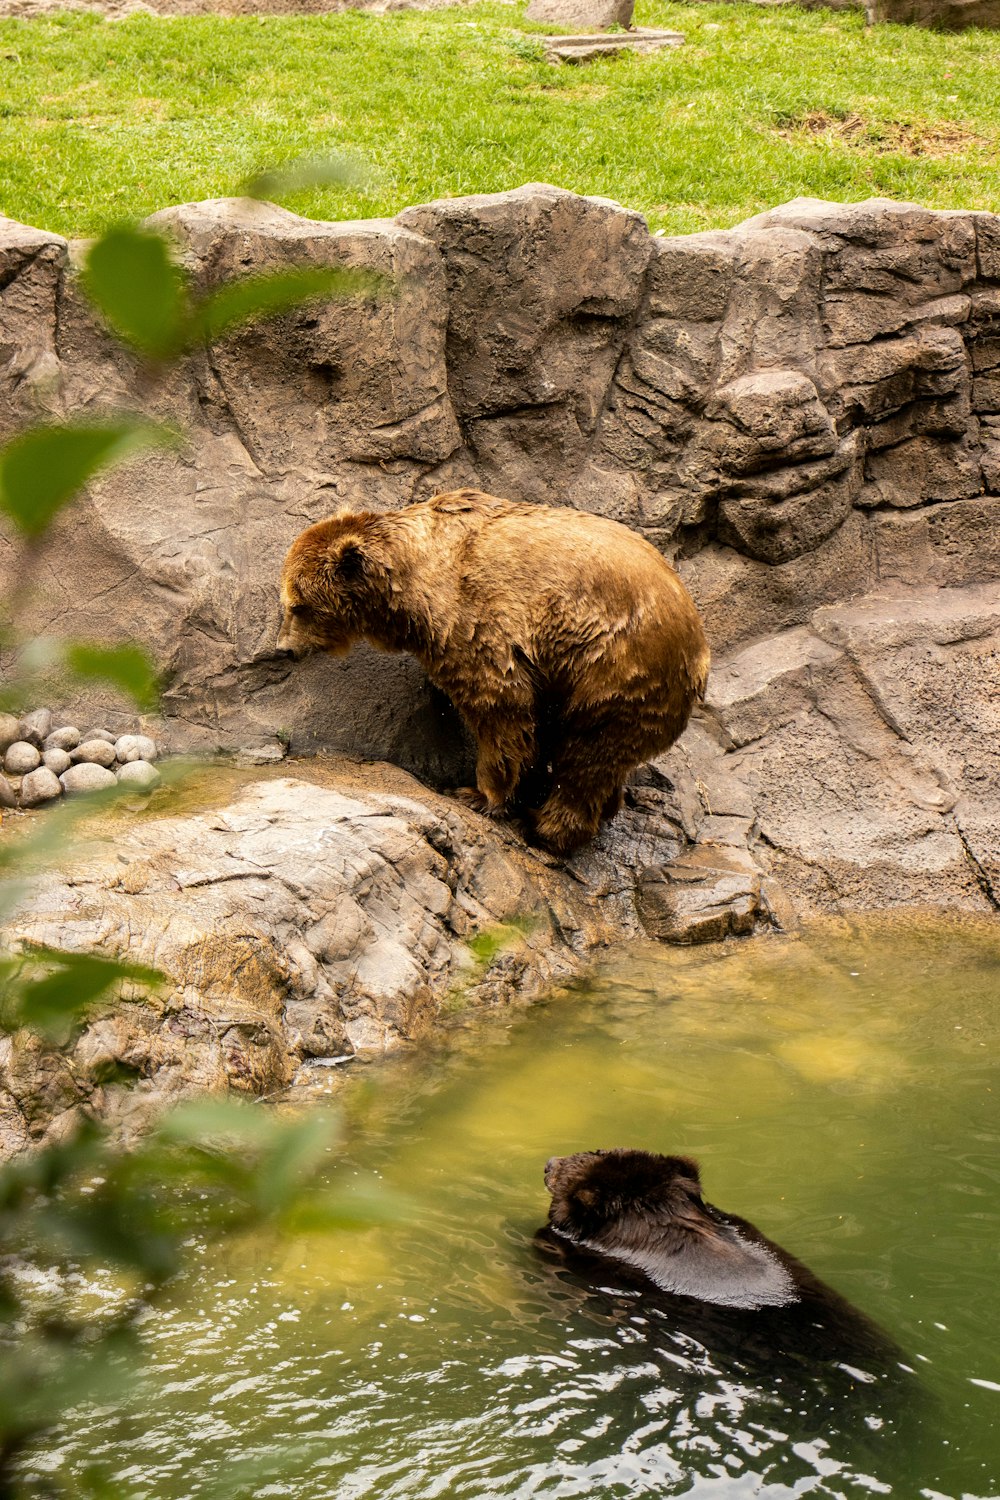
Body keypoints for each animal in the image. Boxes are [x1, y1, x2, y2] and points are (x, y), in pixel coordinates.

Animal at [275, 492, 710, 858]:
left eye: (298, 605)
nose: (284, 648)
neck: (410, 583)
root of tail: (698, 647)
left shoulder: (478, 621)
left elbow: (499, 708)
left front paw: (476, 793)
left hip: (614, 667)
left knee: (588, 753)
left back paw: (548, 828)